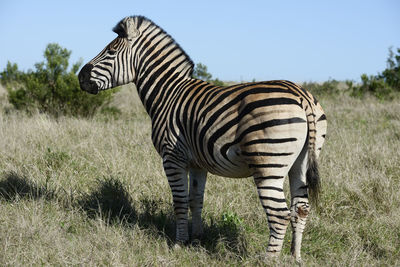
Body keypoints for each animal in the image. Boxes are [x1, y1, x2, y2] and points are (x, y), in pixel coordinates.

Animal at [77, 15, 324, 262]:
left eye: (110, 51)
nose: (80, 77)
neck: (167, 93)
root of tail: (301, 96)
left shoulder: (172, 157)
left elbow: (180, 201)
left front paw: (179, 243)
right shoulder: (197, 163)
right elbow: (196, 200)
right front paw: (196, 240)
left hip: (268, 164)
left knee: (280, 214)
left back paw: (268, 260)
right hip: (300, 163)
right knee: (301, 209)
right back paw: (295, 257)